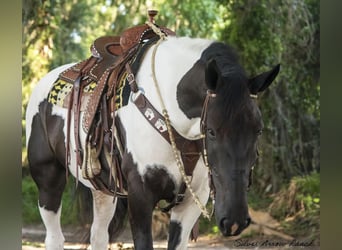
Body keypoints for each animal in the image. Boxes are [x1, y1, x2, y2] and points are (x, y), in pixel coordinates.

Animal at [25, 35, 280, 250]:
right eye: (211, 131)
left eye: (258, 130)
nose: (235, 221)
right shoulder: (140, 197)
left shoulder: (190, 203)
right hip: (49, 181)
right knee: (55, 237)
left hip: (103, 191)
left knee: (98, 236)